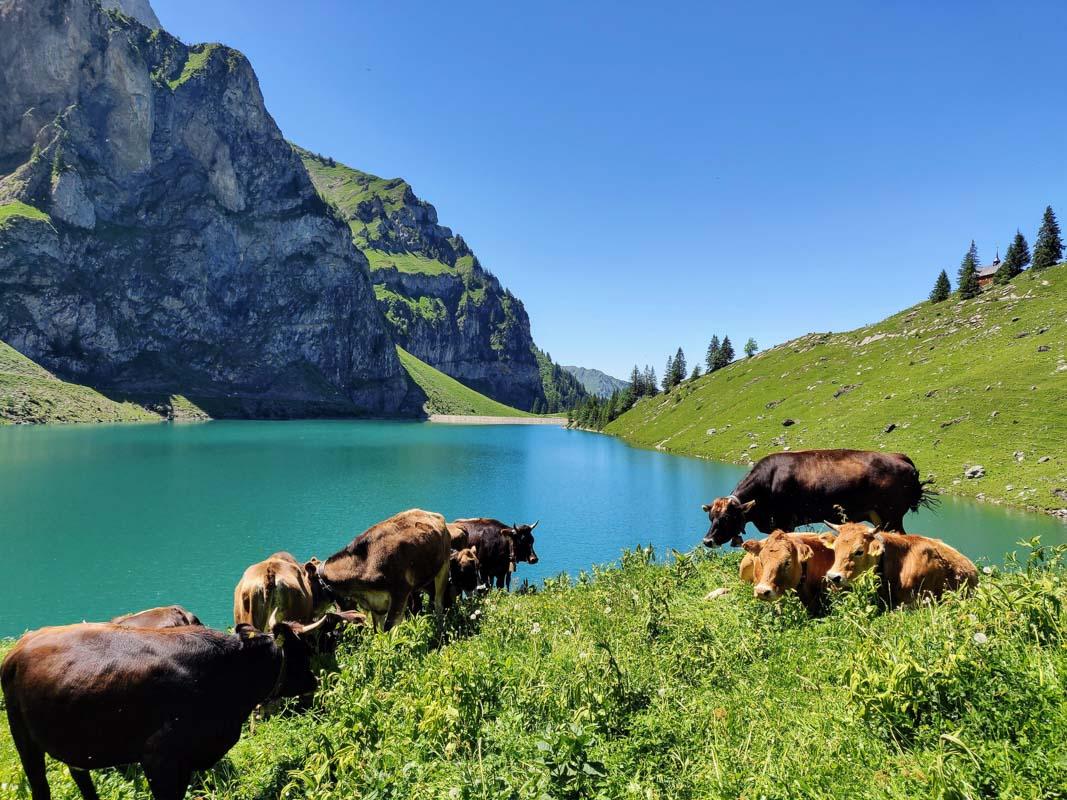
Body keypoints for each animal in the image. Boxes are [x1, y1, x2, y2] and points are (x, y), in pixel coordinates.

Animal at [2, 622, 315, 800]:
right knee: (40, 785)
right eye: (304, 651)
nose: (314, 680)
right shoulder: (159, 759)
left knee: (80, 775)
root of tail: (19, 647)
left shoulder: (186, 760)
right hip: (22, 736)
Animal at [313, 507, 452, 631]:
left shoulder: (400, 594)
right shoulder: (376, 605)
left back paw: (440, 630)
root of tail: (430, 513)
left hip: (444, 566)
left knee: (438, 603)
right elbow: (378, 631)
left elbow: (389, 628)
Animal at [699, 448, 934, 550]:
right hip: (880, 518)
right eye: (711, 517)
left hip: (892, 515)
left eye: (727, 518)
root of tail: (899, 457)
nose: (707, 541)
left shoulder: (785, 521)